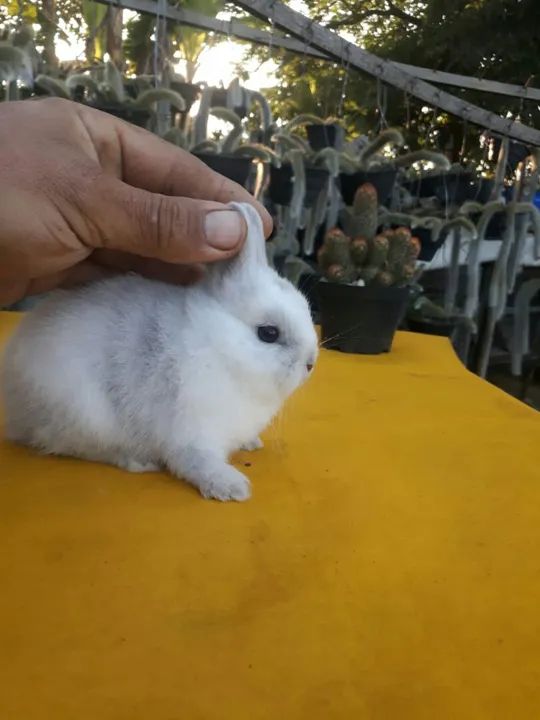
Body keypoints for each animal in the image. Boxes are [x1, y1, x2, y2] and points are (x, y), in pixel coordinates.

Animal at [1, 202, 318, 502]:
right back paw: (138, 461)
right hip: (83, 414)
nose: (311, 363)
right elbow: (197, 461)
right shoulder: (192, 433)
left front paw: (251, 444)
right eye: (268, 333)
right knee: (70, 444)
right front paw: (232, 488)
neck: (220, 350)